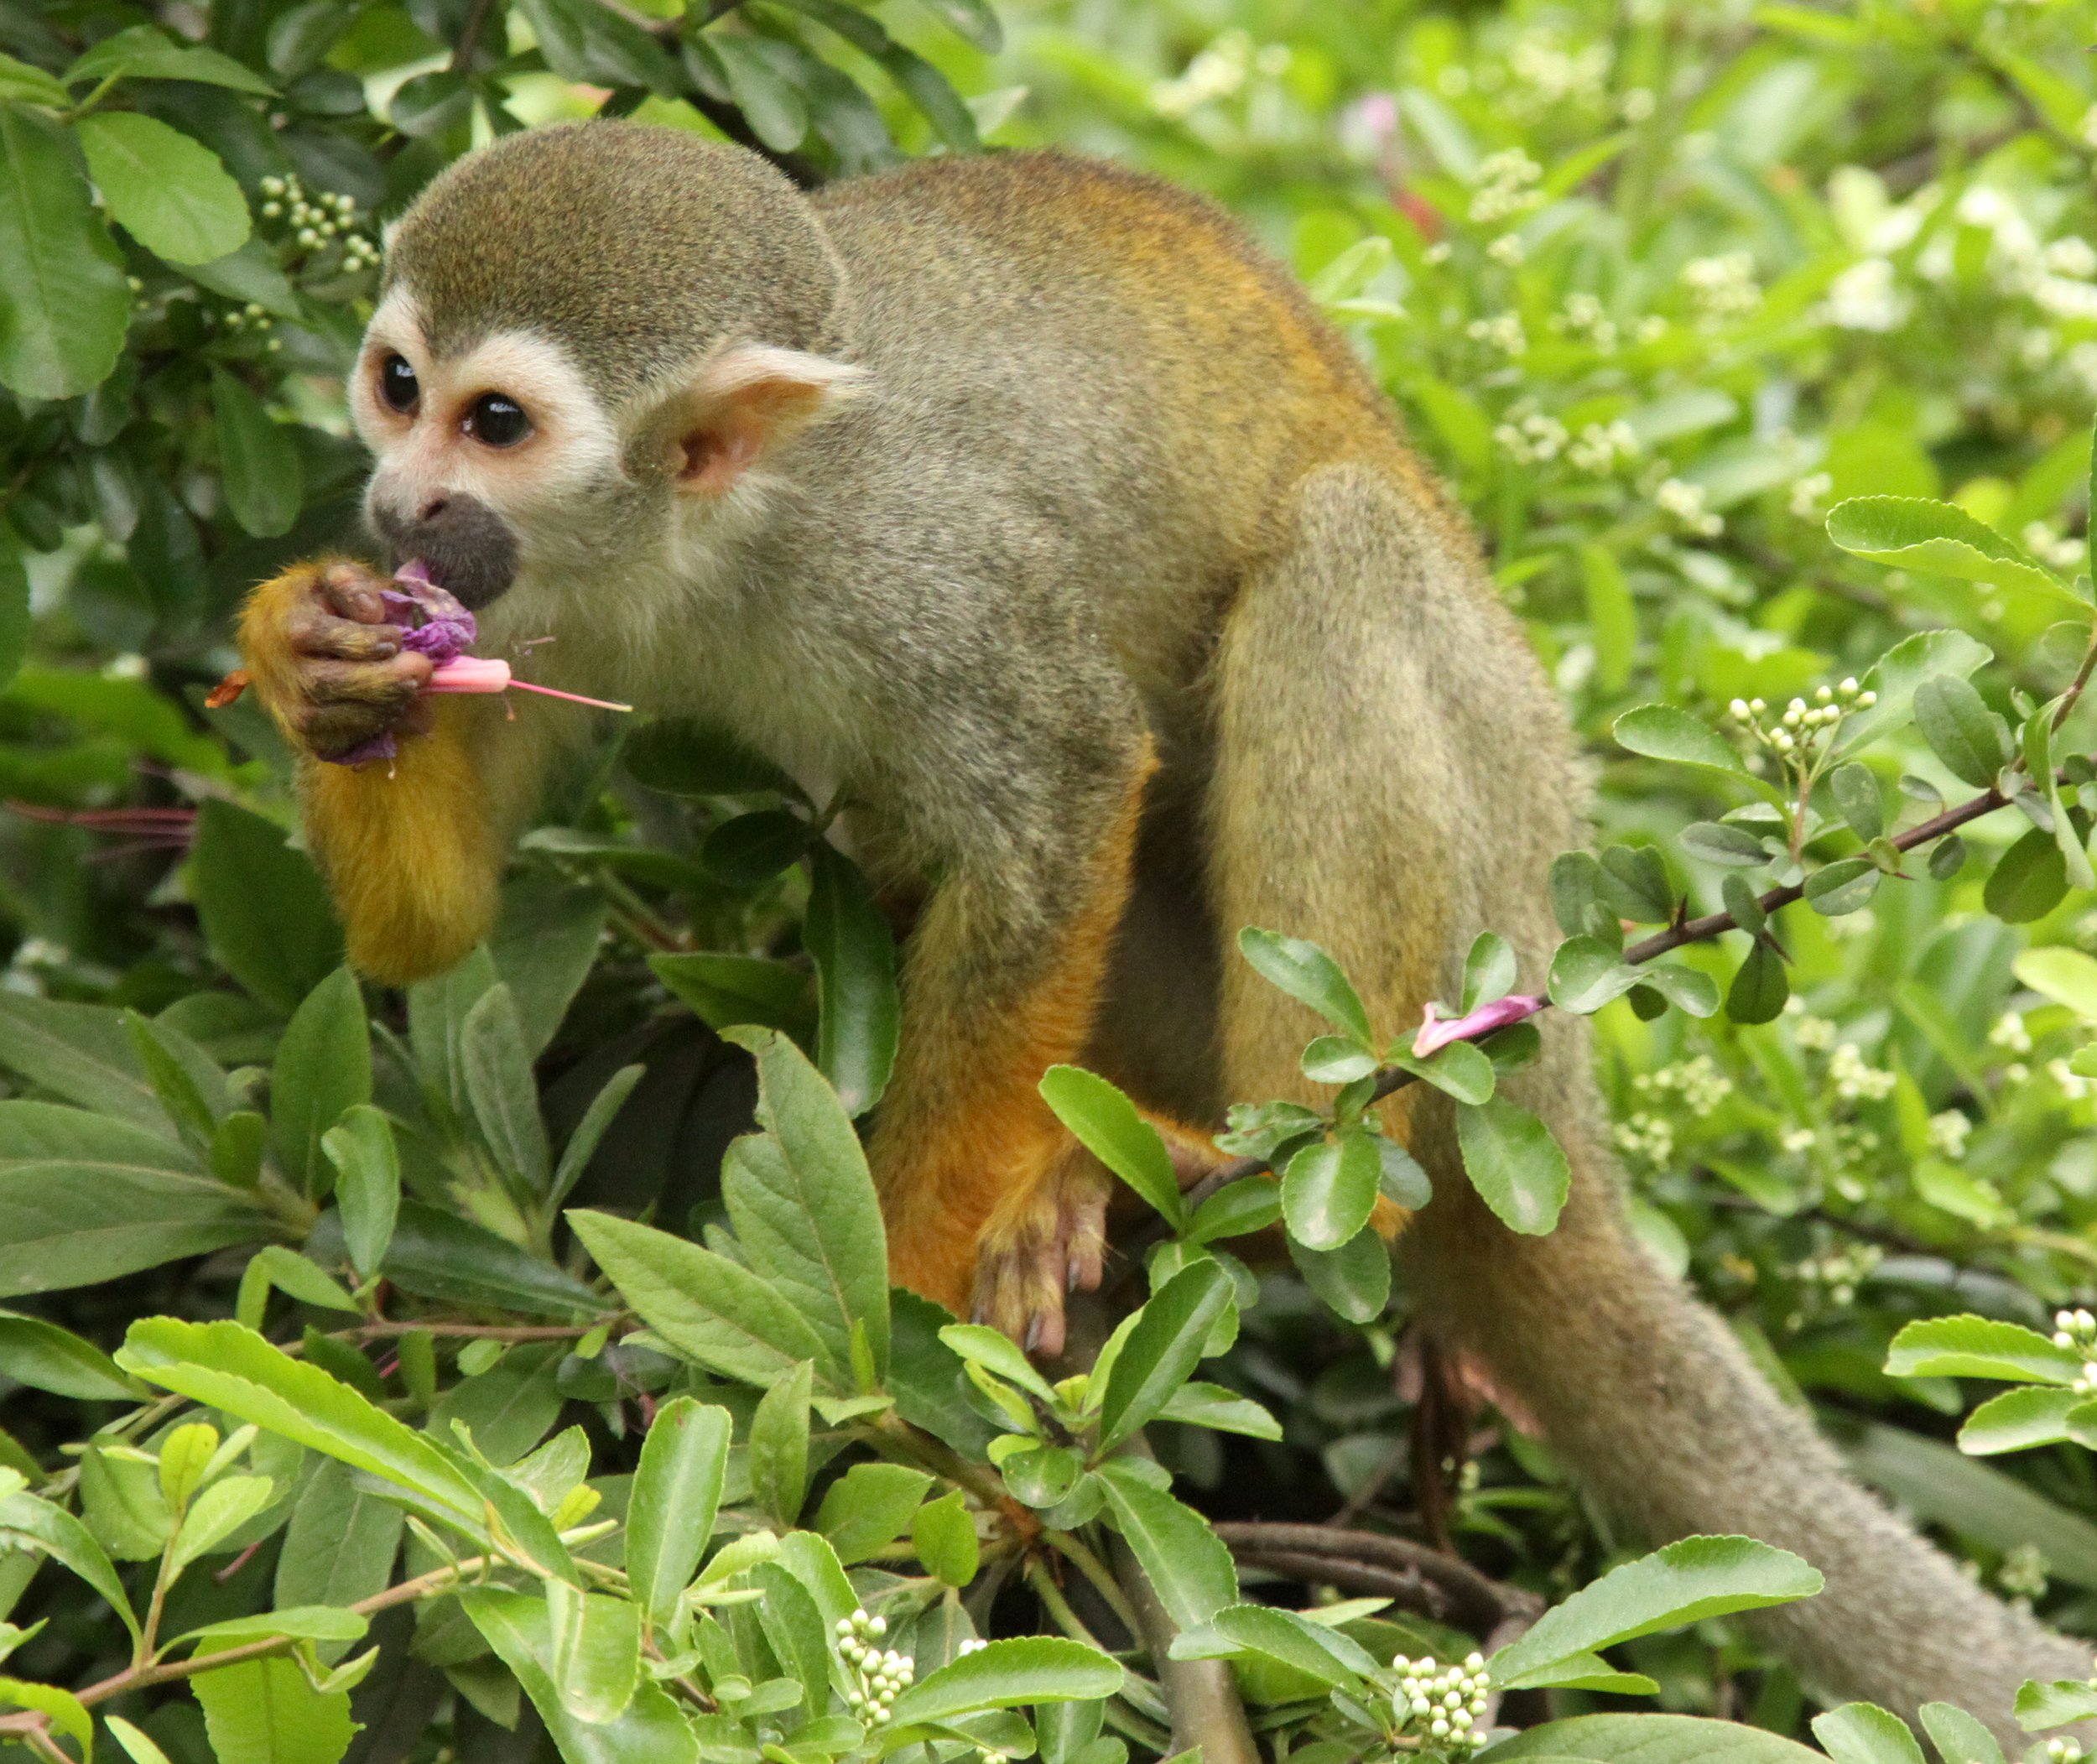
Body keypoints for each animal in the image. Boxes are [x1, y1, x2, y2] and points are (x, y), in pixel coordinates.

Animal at [234, 120, 2087, 1734]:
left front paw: (883, 1322)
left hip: (1504, 899)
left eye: (494, 420)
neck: (703, 535)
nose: (400, 501)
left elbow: (1061, 790)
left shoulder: (917, 568)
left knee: (1339, 551)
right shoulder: (530, 594)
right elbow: (434, 931)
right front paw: (308, 645)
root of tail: (1558, 1097)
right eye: (398, 388)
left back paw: (1264, 1157)